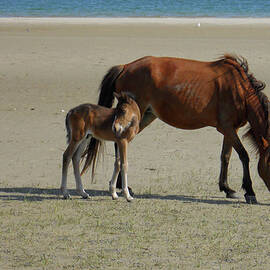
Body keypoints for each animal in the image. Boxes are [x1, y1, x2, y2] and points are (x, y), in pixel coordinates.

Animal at [83, 54, 268, 202]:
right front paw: (250, 192)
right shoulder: (227, 128)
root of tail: (126, 67)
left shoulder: (230, 129)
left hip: (147, 116)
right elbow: (244, 156)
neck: (238, 87)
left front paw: (227, 189)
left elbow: (226, 156)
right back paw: (124, 187)